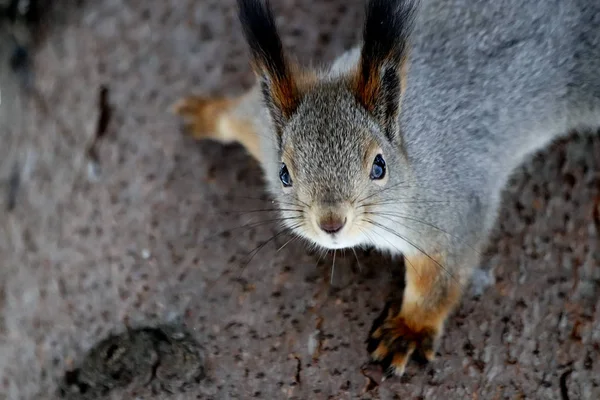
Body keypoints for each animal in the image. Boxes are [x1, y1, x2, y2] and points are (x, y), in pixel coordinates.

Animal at [171, 0, 596, 376]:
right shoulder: (262, 130)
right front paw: (206, 113)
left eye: (379, 166)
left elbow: (442, 277)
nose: (331, 223)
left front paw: (410, 329)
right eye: (284, 174)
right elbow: (238, 116)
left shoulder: (451, 209)